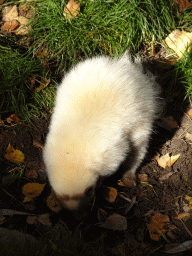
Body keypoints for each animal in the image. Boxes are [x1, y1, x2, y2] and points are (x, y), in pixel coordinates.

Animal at [43, 53, 159, 210]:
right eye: (63, 199)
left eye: (88, 191)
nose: (78, 213)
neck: (73, 153)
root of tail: (124, 66)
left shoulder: (111, 152)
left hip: (142, 114)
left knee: (139, 147)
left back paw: (129, 175)